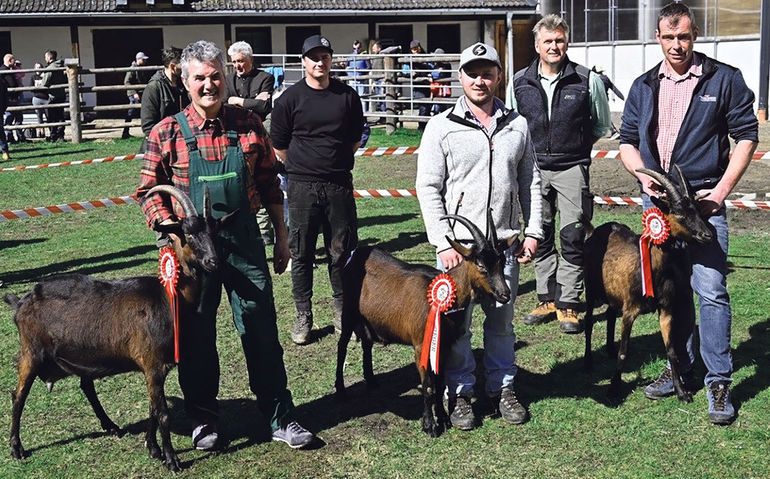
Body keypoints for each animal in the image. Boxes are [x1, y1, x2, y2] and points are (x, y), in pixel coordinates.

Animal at [3, 185, 231, 472]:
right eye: (188, 232)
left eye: (216, 232)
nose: (214, 261)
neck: (167, 297)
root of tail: (22, 301)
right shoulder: (153, 364)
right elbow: (163, 413)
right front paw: (171, 460)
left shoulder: (154, 368)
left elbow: (152, 410)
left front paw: (153, 450)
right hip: (31, 352)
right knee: (18, 395)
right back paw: (16, 448)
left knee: (86, 386)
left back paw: (110, 425)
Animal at [334, 214, 516, 438]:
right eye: (481, 265)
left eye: (501, 261)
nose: (504, 294)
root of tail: (352, 254)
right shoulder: (421, 345)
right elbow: (428, 386)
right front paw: (429, 426)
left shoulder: (444, 345)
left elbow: (439, 383)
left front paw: (444, 419)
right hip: (348, 310)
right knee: (342, 345)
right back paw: (340, 390)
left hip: (369, 317)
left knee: (367, 342)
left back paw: (371, 379)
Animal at [584, 165, 712, 402]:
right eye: (679, 213)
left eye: (698, 210)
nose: (706, 235)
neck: (654, 270)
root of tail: (594, 230)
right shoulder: (630, 310)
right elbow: (624, 351)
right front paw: (614, 388)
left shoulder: (666, 308)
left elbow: (671, 350)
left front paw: (681, 392)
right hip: (591, 287)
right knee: (588, 321)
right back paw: (588, 362)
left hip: (613, 292)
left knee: (609, 314)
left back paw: (608, 349)